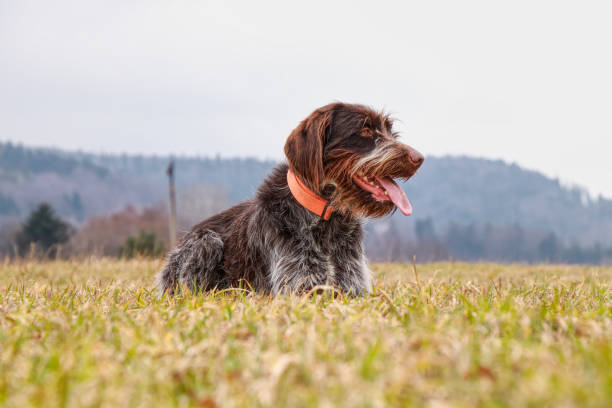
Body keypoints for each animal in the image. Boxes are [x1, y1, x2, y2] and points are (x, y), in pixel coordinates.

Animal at [158, 101, 424, 294]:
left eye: (390, 131)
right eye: (365, 130)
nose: (419, 158)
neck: (326, 219)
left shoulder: (353, 287)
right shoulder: (299, 287)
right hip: (206, 242)